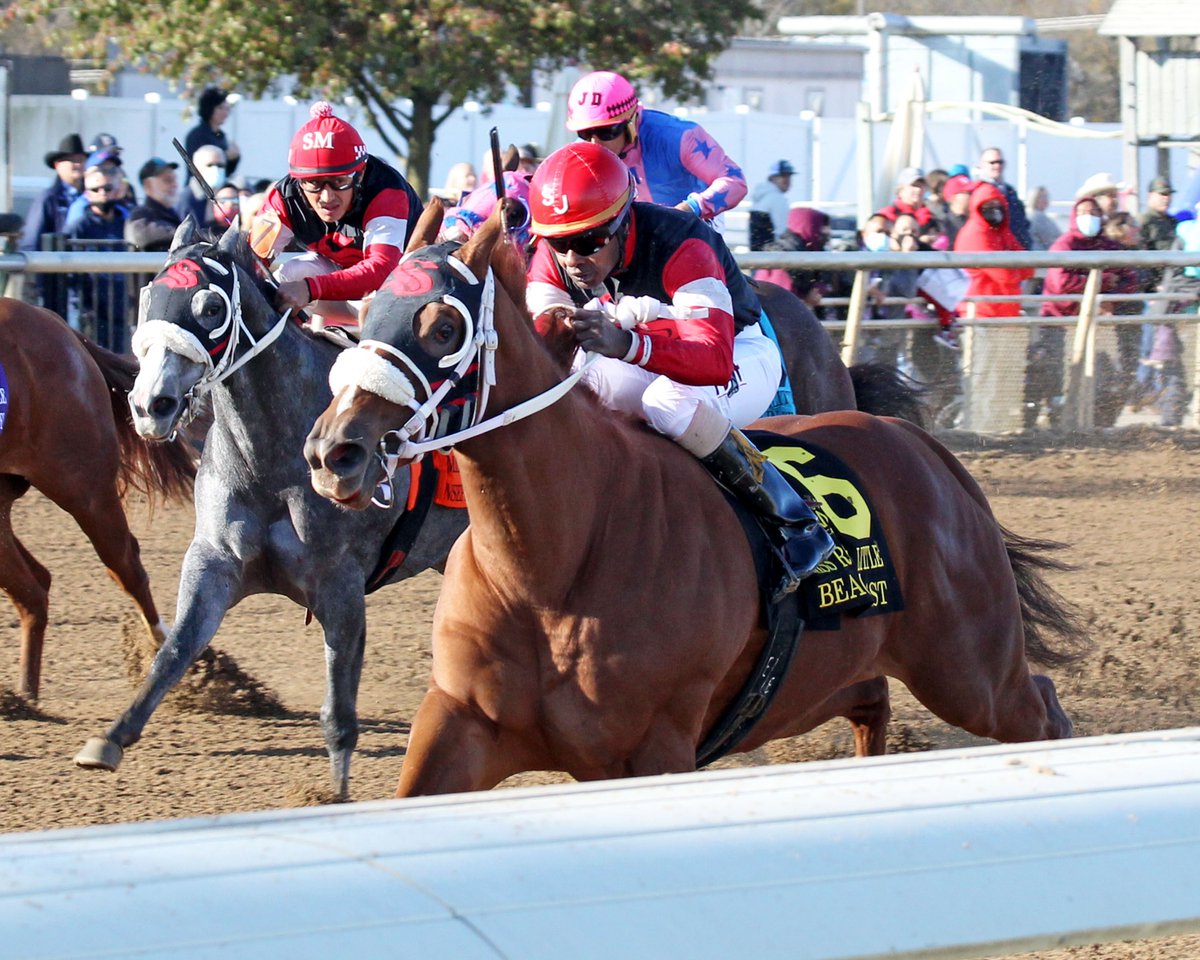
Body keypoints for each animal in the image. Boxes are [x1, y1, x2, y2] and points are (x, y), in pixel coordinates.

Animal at [72, 220, 469, 799]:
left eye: (210, 307)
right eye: (147, 296)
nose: (150, 406)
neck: (273, 461)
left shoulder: (339, 581)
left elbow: (339, 705)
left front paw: (335, 793)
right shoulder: (214, 559)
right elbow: (175, 649)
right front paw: (110, 739)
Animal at [303, 203, 1084, 798]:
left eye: (443, 327)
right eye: (365, 312)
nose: (333, 452)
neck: (553, 563)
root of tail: (928, 453)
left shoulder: (651, 751)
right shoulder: (460, 723)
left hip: (970, 671)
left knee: (1043, 711)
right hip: (841, 674)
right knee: (874, 705)